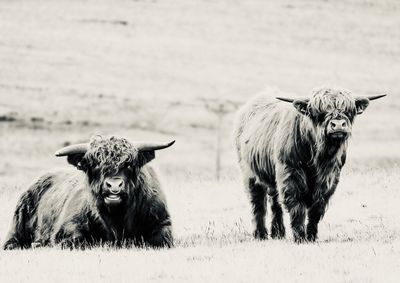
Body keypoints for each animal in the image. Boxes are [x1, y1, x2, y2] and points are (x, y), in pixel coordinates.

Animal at [3, 136, 175, 250]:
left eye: (129, 164)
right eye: (95, 165)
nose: (114, 185)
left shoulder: (162, 223)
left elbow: (161, 240)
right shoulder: (68, 229)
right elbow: (79, 241)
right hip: (17, 225)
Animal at [236, 87, 386, 243]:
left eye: (349, 110)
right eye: (319, 111)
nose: (338, 125)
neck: (317, 154)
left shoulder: (330, 177)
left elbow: (317, 207)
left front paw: (311, 236)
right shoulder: (290, 173)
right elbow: (297, 206)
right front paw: (300, 237)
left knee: (275, 202)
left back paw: (278, 233)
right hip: (250, 174)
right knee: (258, 203)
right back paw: (260, 234)